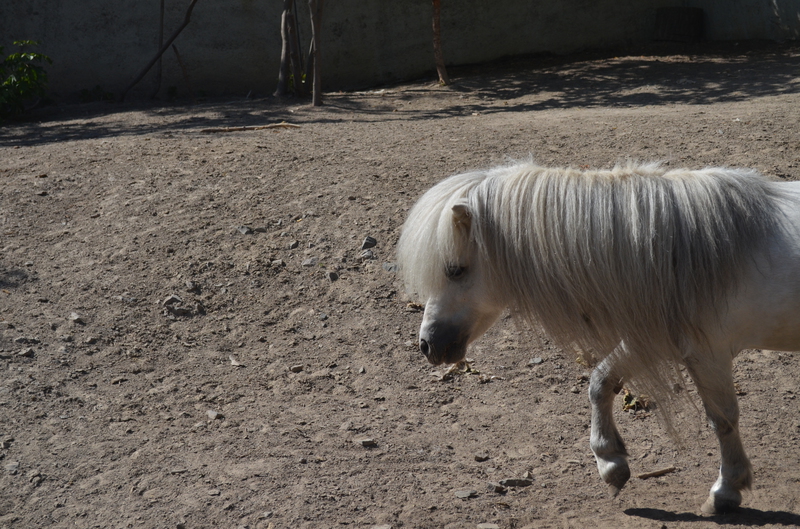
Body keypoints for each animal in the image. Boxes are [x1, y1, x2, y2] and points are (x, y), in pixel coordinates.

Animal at [396, 161, 800, 512]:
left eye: (454, 270)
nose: (427, 345)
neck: (679, 251)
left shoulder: (708, 354)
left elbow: (723, 419)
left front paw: (727, 490)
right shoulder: (653, 339)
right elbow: (601, 382)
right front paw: (611, 462)